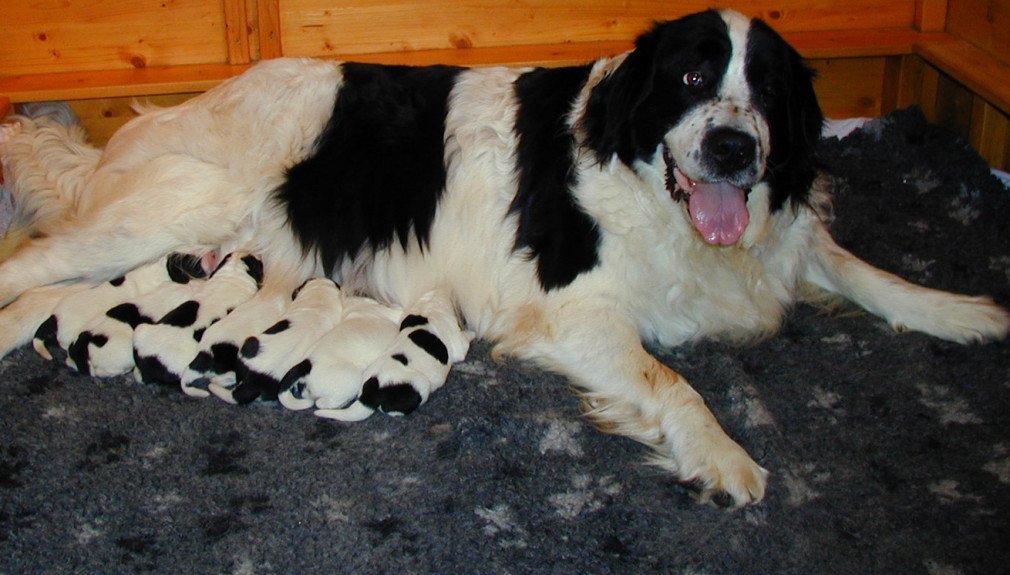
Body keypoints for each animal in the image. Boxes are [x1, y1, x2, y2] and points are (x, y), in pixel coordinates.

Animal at [1, 8, 1007, 508]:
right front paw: (722, 455)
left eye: (762, 89)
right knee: (24, 270)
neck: (645, 181)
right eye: (690, 78)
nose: (733, 148)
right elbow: (675, 381)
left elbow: (861, 268)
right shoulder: (573, 310)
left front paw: (960, 310)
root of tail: (153, 123)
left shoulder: (779, 236)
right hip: (171, 210)